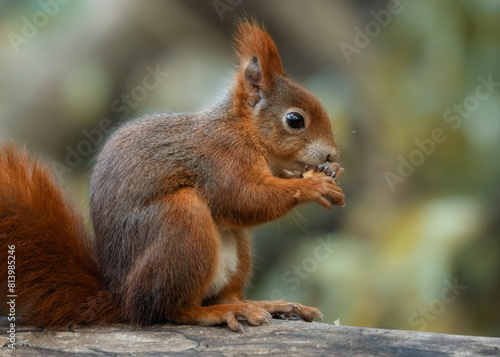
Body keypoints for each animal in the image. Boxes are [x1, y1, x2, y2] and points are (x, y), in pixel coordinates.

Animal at [0, 19, 344, 330]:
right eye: (295, 120)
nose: (332, 154)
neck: (244, 130)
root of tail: (121, 298)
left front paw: (330, 173)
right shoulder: (220, 161)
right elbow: (243, 198)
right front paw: (315, 185)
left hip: (235, 247)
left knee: (222, 293)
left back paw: (264, 304)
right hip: (182, 223)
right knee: (172, 309)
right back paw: (222, 312)